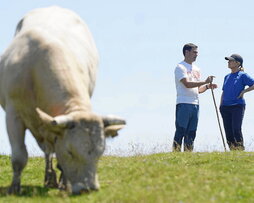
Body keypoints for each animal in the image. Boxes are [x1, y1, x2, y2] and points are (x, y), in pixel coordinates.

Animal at [0, 5, 126, 194]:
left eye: (100, 152)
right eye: (70, 152)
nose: (88, 188)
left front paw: (64, 183)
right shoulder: (13, 114)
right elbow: (19, 157)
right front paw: (14, 188)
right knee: (46, 151)